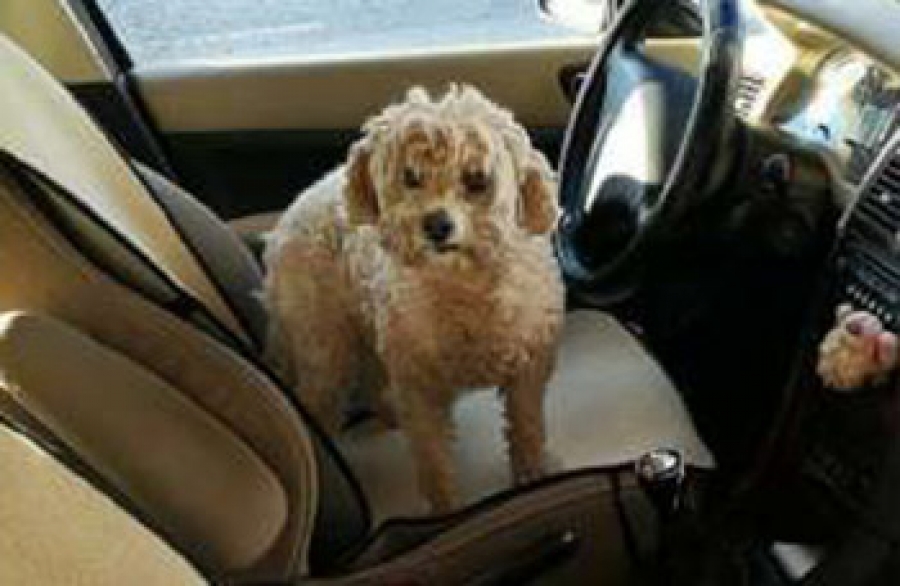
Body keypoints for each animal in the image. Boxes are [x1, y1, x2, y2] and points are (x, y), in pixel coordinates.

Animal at [262, 85, 565, 511]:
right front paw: (446, 511)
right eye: (410, 177)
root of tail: (287, 219)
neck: (463, 286)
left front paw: (531, 475)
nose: (437, 224)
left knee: (371, 376)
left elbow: (526, 428)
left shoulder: (528, 367)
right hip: (325, 343)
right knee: (321, 394)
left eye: (476, 179)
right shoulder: (419, 386)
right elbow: (433, 459)